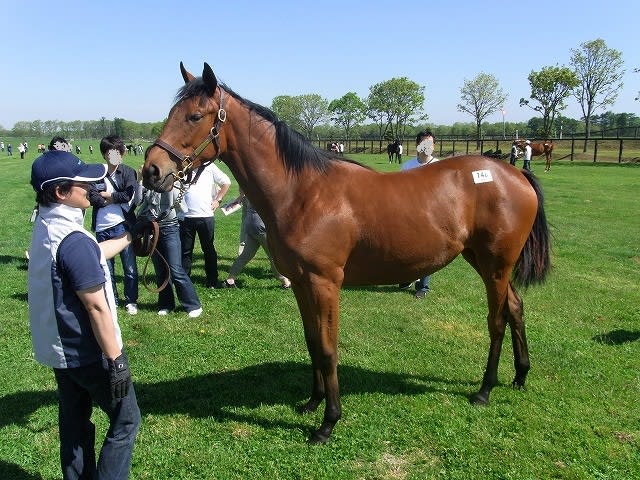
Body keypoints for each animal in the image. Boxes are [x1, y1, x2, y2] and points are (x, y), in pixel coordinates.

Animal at [142, 62, 552, 444]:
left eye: (195, 116)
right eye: (172, 113)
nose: (152, 171)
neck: (304, 191)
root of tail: (514, 174)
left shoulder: (325, 284)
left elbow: (328, 348)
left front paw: (328, 422)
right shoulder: (302, 283)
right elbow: (312, 342)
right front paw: (312, 402)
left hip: (495, 265)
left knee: (497, 320)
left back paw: (484, 390)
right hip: (485, 262)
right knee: (515, 308)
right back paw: (520, 375)